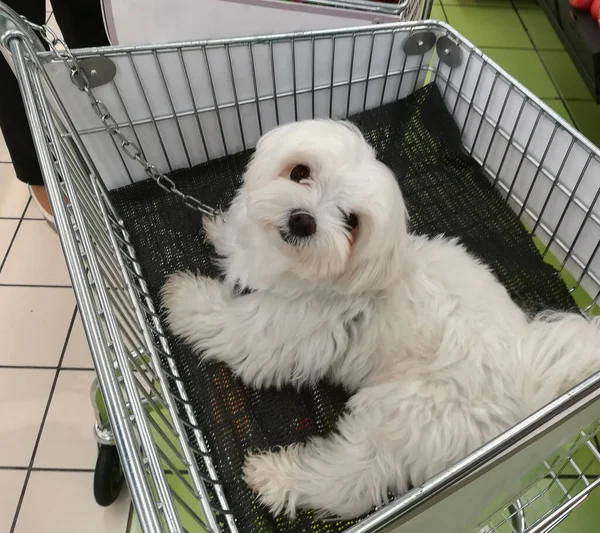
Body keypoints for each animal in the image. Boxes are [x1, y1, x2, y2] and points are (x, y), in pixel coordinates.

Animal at [162, 119, 600, 520]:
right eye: (300, 172)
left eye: (351, 221)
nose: (303, 220)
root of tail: (529, 382)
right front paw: (224, 228)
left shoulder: (287, 329)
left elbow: (234, 327)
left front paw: (184, 297)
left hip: (407, 413)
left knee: (355, 478)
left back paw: (278, 477)